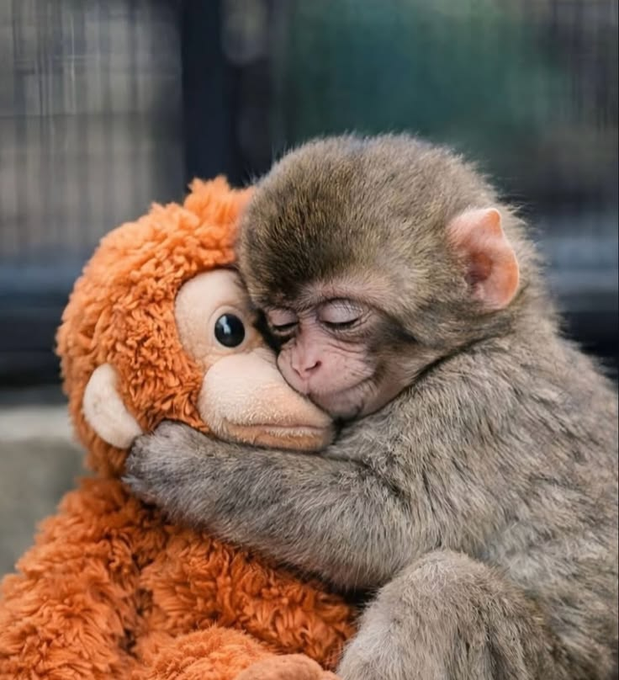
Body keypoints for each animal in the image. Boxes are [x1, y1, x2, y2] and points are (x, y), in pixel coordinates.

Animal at [125, 134, 618, 680]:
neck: (472, 346)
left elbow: (390, 522)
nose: (303, 363)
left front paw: (182, 464)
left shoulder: (477, 406)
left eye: (342, 318)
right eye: (282, 325)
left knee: (444, 587)